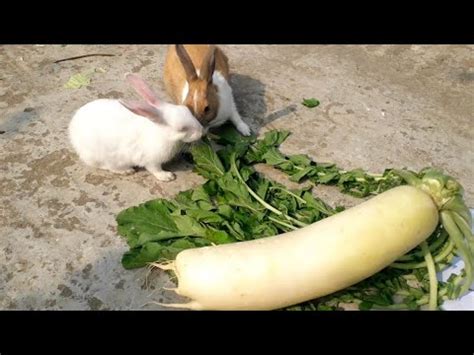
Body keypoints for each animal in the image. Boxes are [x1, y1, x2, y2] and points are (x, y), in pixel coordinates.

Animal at [69, 73, 204, 182]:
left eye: (187, 110)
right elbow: (155, 169)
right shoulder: (151, 160)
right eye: (182, 129)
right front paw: (167, 176)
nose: (201, 131)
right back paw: (127, 170)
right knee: (107, 166)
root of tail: (72, 128)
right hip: (106, 157)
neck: (162, 134)